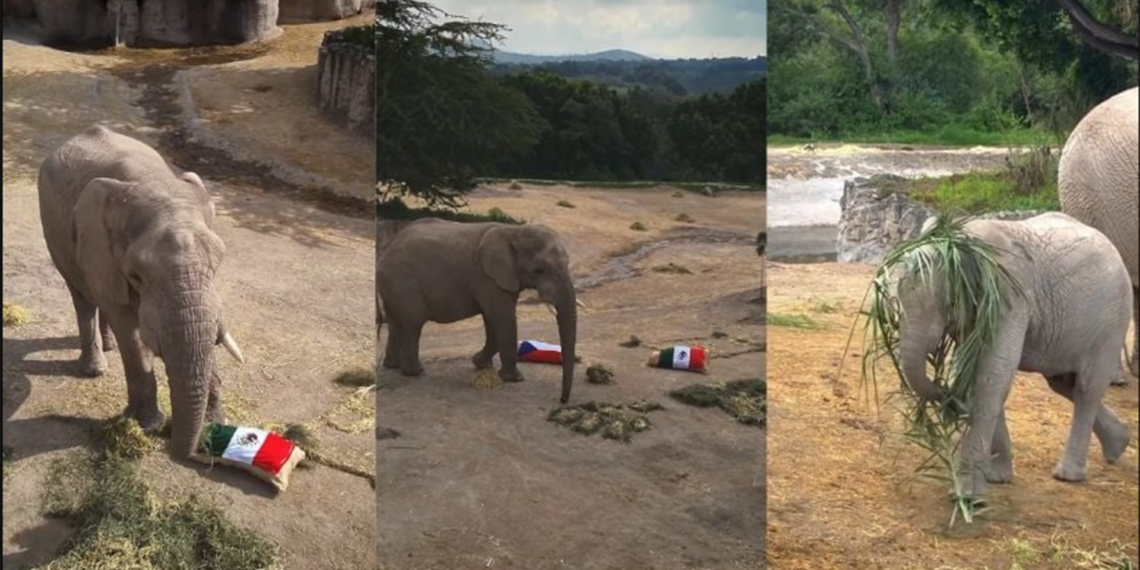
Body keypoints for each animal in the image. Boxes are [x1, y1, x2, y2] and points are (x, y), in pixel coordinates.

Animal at [38, 126, 244, 459]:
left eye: (218, 262)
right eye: (137, 275)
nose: (187, 451)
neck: (150, 179)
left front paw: (215, 422)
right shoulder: (100, 248)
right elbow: (131, 335)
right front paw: (147, 426)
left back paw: (108, 346)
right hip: (56, 237)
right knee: (83, 297)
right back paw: (95, 368)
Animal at [375, 218, 578, 403]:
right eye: (538, 270)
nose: (562, 400)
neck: (514, 231)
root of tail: (387, 247)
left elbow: (491, 319)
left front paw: (481, 364)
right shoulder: (488, 278)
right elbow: (501, 317)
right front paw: (514, 379)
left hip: (392, 283)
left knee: (395, 322)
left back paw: (392, 366)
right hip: (402, 280)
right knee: (413, 322)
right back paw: (415, 372)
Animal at [896, 213, 1132, 500]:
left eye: (949, 302)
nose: (948, 396)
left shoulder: (1012, 296)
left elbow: (993, 374)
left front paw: (968, 497)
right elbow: (982, 372)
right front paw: (997, 477)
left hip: (1112, 320)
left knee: (1087, 388)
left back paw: (1068, 475)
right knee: (1065, 385)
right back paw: (1120, 444)